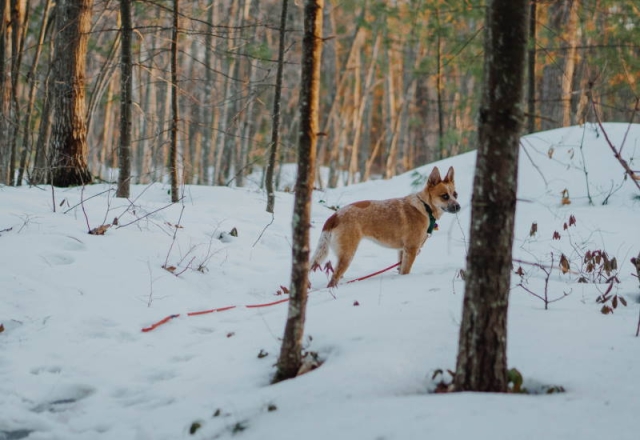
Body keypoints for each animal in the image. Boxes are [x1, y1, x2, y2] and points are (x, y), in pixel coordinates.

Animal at [310, 164, 460, 286]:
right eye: (445, 196)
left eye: (455, 194)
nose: (458, 207)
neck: (425, 206)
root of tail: (334, 216)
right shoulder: (411, 249)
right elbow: (406, 271)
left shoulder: (402, 251)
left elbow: (401, 270)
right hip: (347, 255)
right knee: (333, 279)